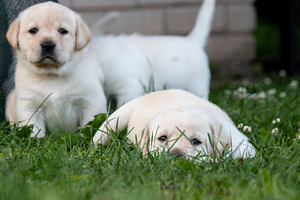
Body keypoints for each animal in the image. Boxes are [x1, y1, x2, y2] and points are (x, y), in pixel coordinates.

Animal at [4, 2, 106, 138]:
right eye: (33, 30)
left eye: (62, 31)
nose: (47, 45)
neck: (52, 74)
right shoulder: (29, 106)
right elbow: (33, 132)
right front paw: (36, 141)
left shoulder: (91, 102)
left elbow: (89, 128)